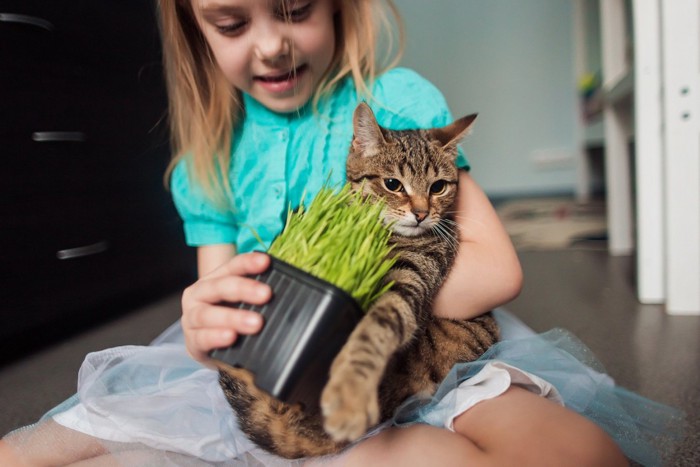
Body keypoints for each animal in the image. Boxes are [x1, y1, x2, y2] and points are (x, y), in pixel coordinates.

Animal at [217, 103, 498, 460]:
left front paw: (349, 395)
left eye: (438, 187)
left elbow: (375, 330)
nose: (421, 214)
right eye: (393, 184)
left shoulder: (411, 278)